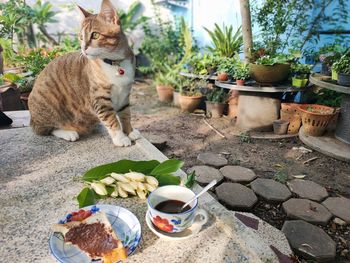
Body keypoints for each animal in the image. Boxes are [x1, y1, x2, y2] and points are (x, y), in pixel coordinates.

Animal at [27, 0, 139, 147]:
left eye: (95, 35)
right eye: (81, 37)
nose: (83, 48)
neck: (114, 62)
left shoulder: (124, 95)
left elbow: (126, 114)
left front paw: (129, 131)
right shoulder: (99, 99)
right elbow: (111, 119)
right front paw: (120, 137)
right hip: (48, 101)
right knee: (46, 129)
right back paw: (68, 133)